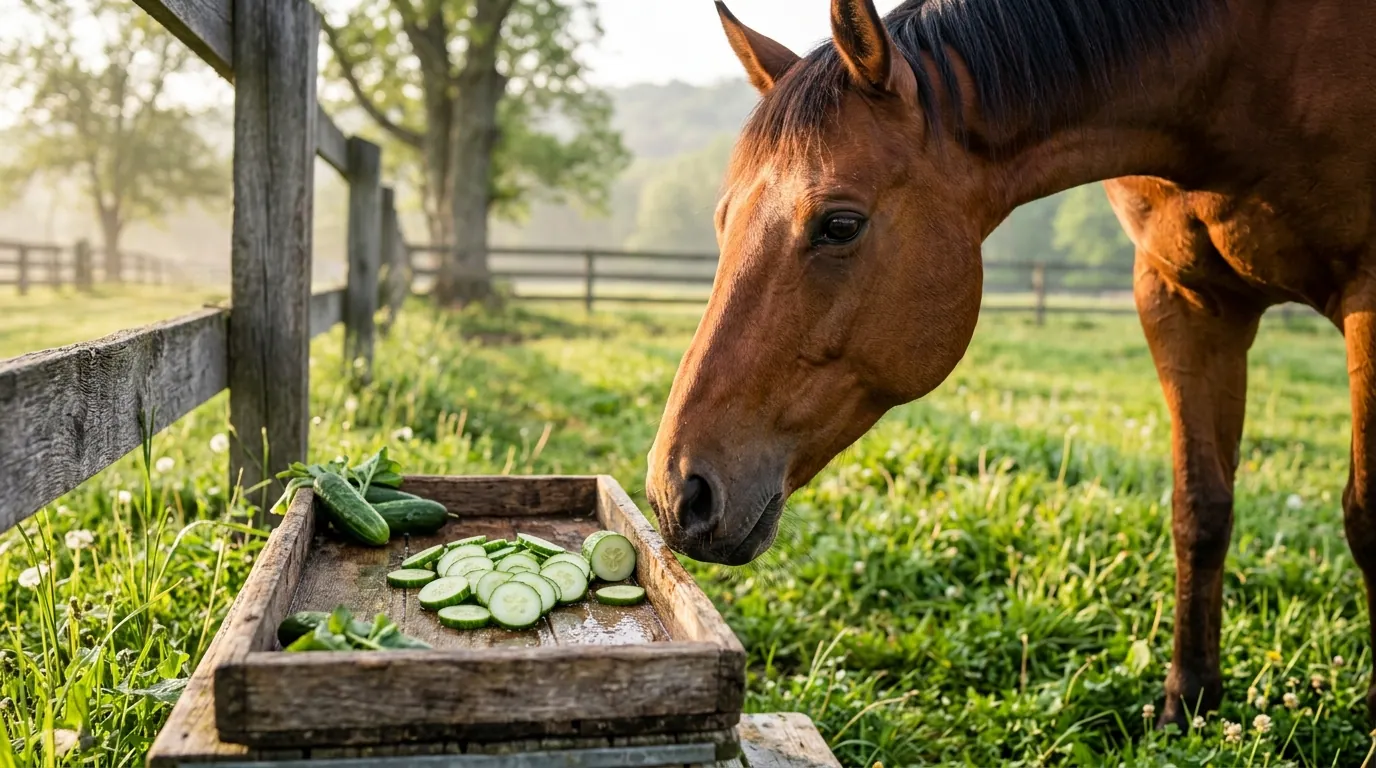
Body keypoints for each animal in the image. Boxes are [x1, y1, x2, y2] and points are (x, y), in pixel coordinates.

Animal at [643, 0, 1376, 728]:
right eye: (722, 220)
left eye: (840, 225)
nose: (678, 491)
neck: (1238, 65)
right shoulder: (1183, 296)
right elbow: (1200, 504)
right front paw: (1187, 703)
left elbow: (1365, 514)